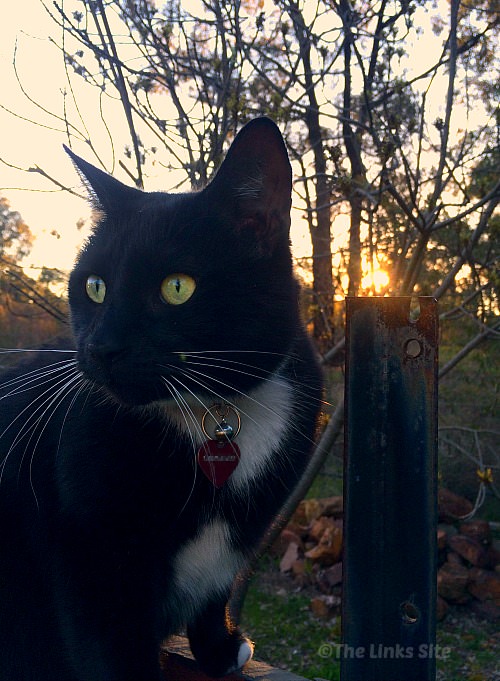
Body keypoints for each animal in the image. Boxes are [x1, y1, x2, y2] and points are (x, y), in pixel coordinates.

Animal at [0, 119, 320, 676]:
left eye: (177, 287)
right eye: (95, 286)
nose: (102, 347)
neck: (213, 413)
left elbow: (216, 590)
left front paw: (220, 648)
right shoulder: (91, 561)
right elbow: (112, 652)